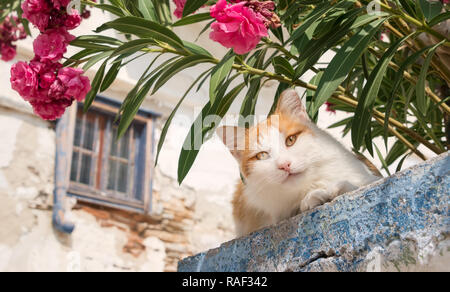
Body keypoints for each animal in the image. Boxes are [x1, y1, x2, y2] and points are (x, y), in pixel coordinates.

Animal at [216, 89, 382, 237]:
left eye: (290, 140)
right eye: (262, 155)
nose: (284, 165)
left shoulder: (368, 176)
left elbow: (351, 184)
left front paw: (332, 190)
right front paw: (314, 198)